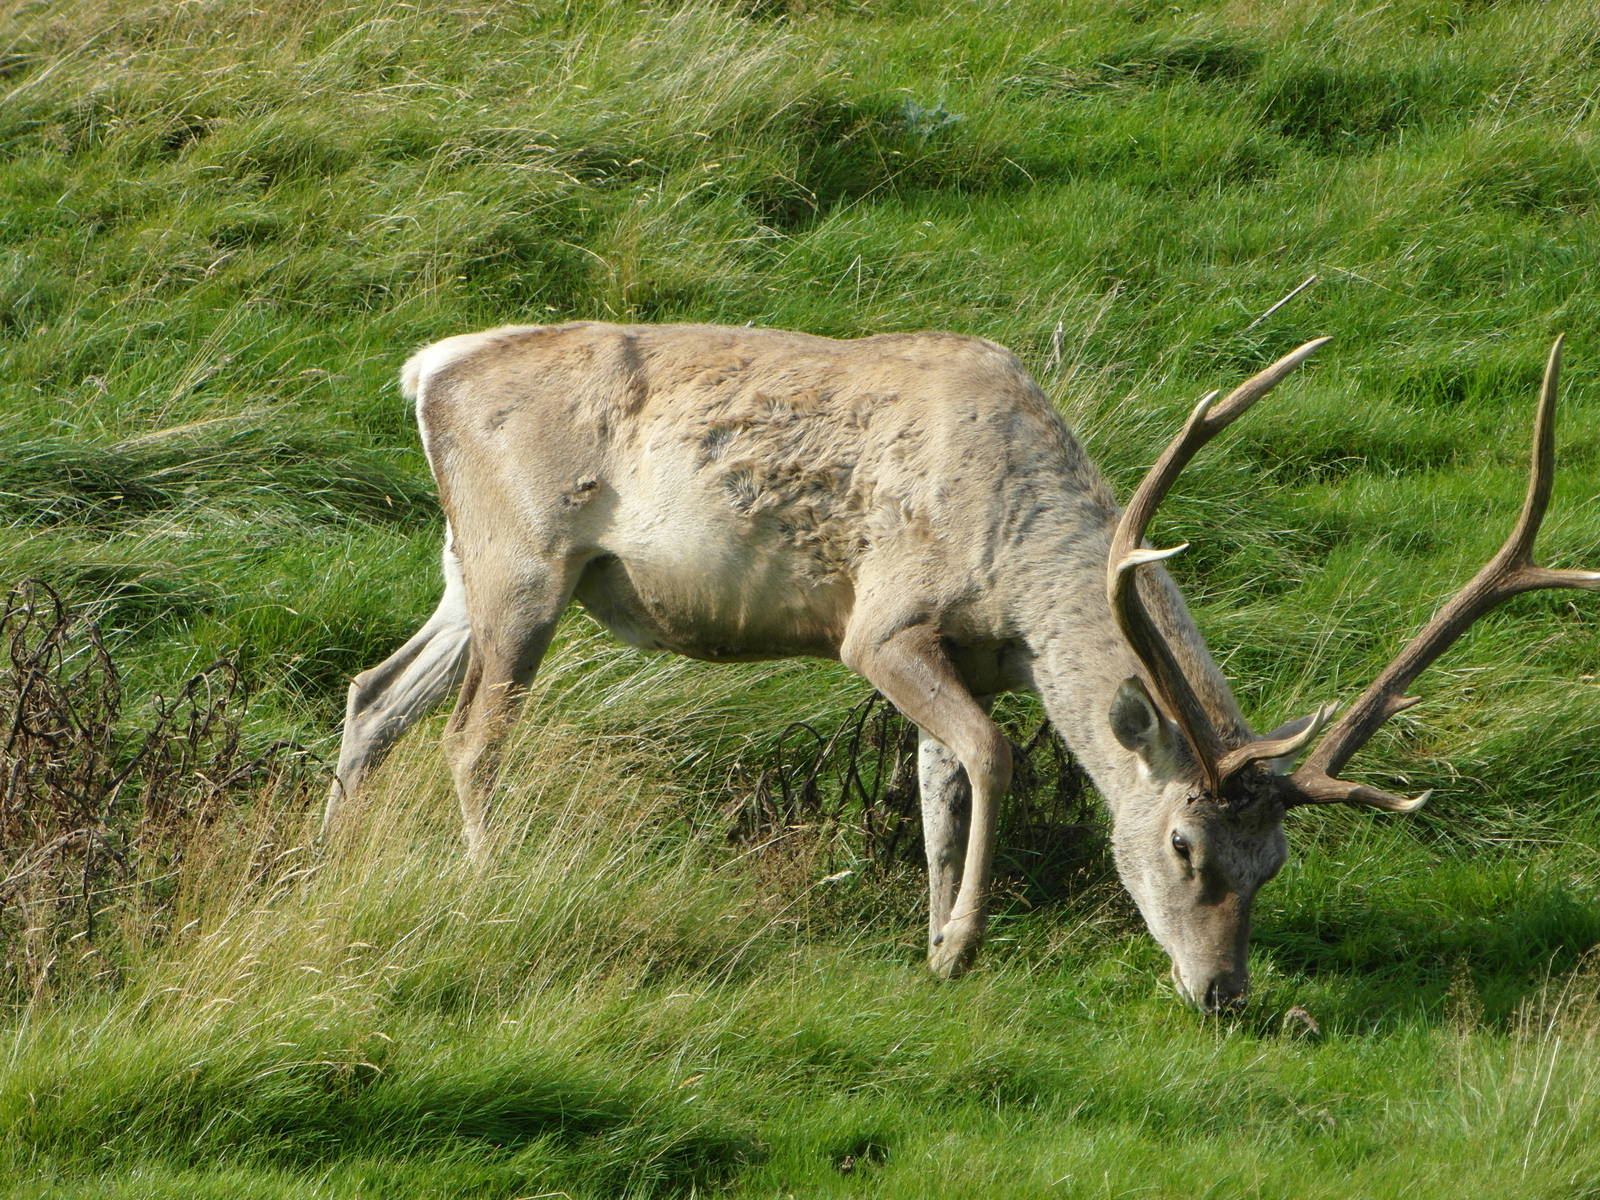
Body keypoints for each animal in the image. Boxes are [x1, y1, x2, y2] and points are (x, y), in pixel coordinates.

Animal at [326, 321, 1597, 1011]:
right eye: (1184, 847)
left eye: (1275, 860)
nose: (1223, 993)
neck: (1018, 563)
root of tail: (426, 367)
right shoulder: (879, 624)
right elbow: (987, 757)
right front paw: (959, 947)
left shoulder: (975, 659)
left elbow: (937, 783)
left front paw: (932, 934)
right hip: (524, 560)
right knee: (471, 734)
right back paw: (487, 881)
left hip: (464, 566)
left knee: (373, 694)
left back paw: (320, 868)